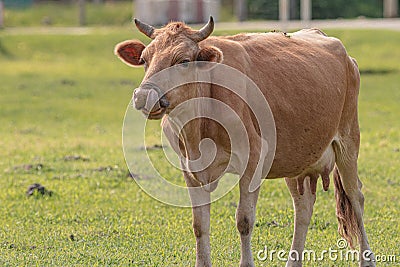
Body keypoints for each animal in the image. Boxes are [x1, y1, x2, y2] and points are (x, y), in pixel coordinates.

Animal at [113, 17, 376, 267]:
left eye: (184, 61)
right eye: (144, 59)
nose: (143, 96)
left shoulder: (253, 161)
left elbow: (244, 220)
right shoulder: (189, 169)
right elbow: (199, 225)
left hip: (348, 141)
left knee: (356, 197)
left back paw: (367, 259)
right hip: (297, 159)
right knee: (303, 207)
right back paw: (294, 260)